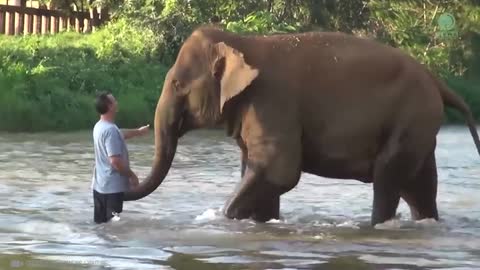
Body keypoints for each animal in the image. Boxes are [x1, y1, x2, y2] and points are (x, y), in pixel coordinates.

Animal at [123, 25, 480, 227]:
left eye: (177, 84)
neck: (242, 43)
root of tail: (439, 81)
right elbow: (258, 171)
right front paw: (262, 223)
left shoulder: (272, 102)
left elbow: (278, 170)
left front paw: (221, 220)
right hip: (419, 126)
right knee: (418, 187)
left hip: (411, 118)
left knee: (388, 178)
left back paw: (376, 227)